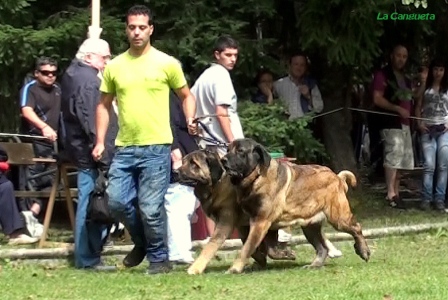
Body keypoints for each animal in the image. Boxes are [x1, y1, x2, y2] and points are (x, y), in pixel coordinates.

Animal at [175, 147, 344, 274]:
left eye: (194, 164)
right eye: (183, 161)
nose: (176, 172)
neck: (219, 184)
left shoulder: (228, 223)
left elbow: (212, 246)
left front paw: (195, 268)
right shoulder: (245, 225)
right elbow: (254, 246)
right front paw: (265, 258)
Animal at [220, 138, 372, 274]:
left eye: (240, 151)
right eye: (228, 150)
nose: (223, 160)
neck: (256, 178)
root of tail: (337, 177)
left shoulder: (261, 222)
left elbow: (247, 247)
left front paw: (234, 269)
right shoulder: (260, 224)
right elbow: (264, 249)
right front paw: (284, 254)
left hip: (338, 218)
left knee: (356, 228)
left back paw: (363, 251)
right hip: (310, 226)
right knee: (322, 248)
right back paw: (314, 265)